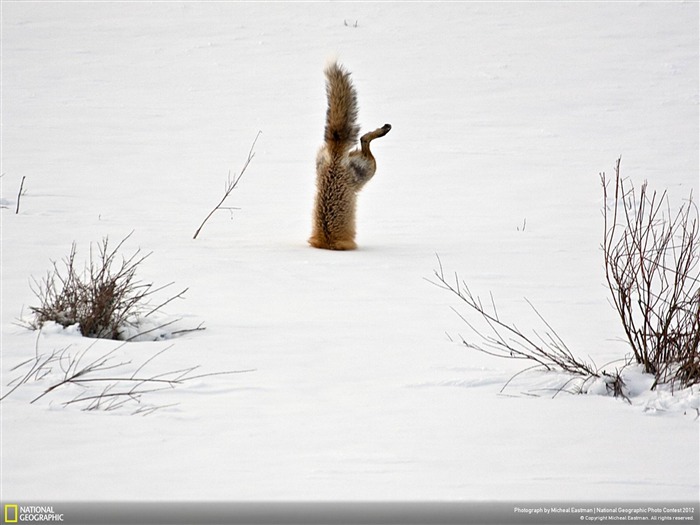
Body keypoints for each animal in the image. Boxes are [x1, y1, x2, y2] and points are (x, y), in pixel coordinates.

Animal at [308, 61, 392, 250]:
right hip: (369, 170)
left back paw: (382, 130)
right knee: (364, 139)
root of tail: (335, 154)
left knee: (364, 139)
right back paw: (382, 130)